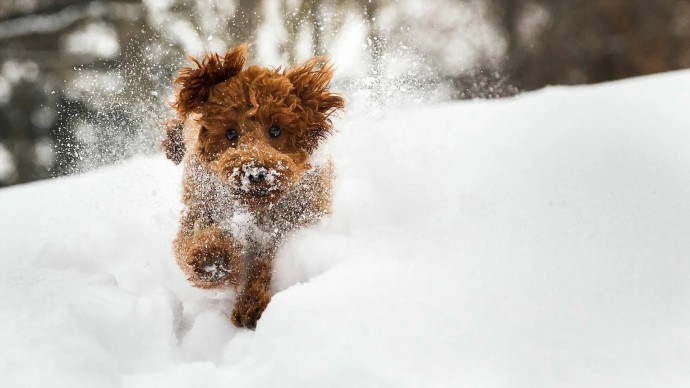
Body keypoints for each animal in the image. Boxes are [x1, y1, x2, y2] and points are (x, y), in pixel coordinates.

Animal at [162, 46, 344, 330]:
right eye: (230, 133)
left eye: (276, 129)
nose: (256, 172)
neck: (255, 210)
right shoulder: (201, 207)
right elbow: (190, 243)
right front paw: (213, 260)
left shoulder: (284, 226)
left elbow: (263, 263)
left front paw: (251, 304)